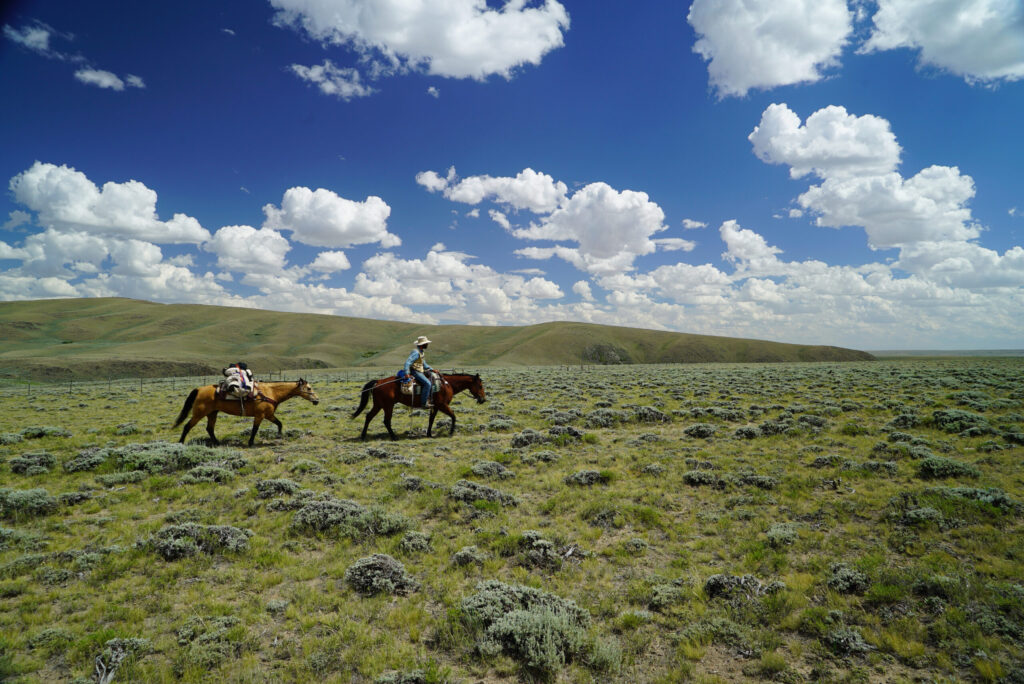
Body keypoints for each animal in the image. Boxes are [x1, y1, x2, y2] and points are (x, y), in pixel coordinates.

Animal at [172, 376, 317, 446]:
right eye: (309, 388)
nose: (317, 400)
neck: (270, 392)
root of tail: (199, 389)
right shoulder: (261, 415)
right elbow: (255, 429)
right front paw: (250, 443)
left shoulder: (269, 415)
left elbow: (279, 424)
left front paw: (279, 436)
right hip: (199, 414)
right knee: (187, 426)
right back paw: (180, 443)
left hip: (212, 413)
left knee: (210, 429)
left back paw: (217, 443)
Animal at [354, 370, 485, 440]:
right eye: (480, 386)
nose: (483, 399)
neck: (447, 384)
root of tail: (378, 382)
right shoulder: (442, 405)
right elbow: (453, 416)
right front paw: (451, 433)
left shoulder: (435, 407)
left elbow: (431, 420)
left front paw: (429, 434)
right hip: (387, 406)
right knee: (386, 421)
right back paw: (394, 437)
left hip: (379, 405)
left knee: (368, 416)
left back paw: (363, 436)